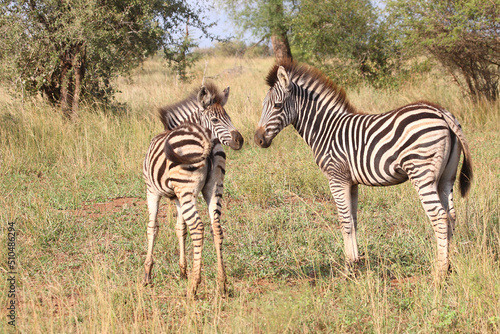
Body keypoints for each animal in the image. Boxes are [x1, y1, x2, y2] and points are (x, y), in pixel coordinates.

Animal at [143, 82, 244, 296]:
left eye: (228, 118)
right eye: (215, 119)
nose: (240, 140)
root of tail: (207, 142)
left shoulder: (151, 191)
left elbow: (152, 228)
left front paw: (147, 274)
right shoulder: (177, 196)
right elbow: (180, 228)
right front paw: (183, 271)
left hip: (187, 191)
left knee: (198, 227)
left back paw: (194, 287)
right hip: (214, 188)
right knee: (216, 227)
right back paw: (222, 283)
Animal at [254, 60, 472, 280]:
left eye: (277, 106)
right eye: (263, 105)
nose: (258, 139)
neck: (326, 129)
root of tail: (441, 112)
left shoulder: (336, 178)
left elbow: (344, 221)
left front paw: (348, 267)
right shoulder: (351, 182)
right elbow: (353, 219)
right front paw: (356, 262)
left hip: (422, 173)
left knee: (439, 216)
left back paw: (440, 271)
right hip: (446, 178)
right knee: (451, 215)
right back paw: (449, 265)